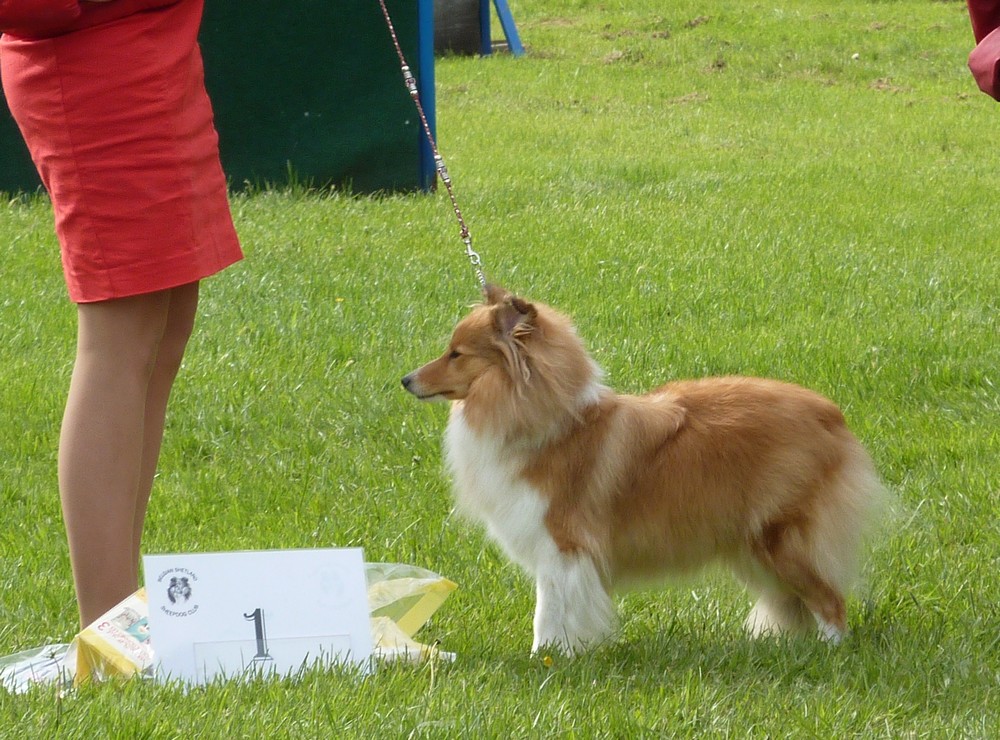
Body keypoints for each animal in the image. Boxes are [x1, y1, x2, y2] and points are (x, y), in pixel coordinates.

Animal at [398, 286, 884, 656]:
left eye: (456, 354)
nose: (405, 380)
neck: (549, 421)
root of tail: (830, 414)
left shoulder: (562, 546)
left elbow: (548, 611)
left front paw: (547, 658)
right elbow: (550, 607)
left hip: (779, 538)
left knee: (831, 600)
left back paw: (831, 651)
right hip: (753, 546)